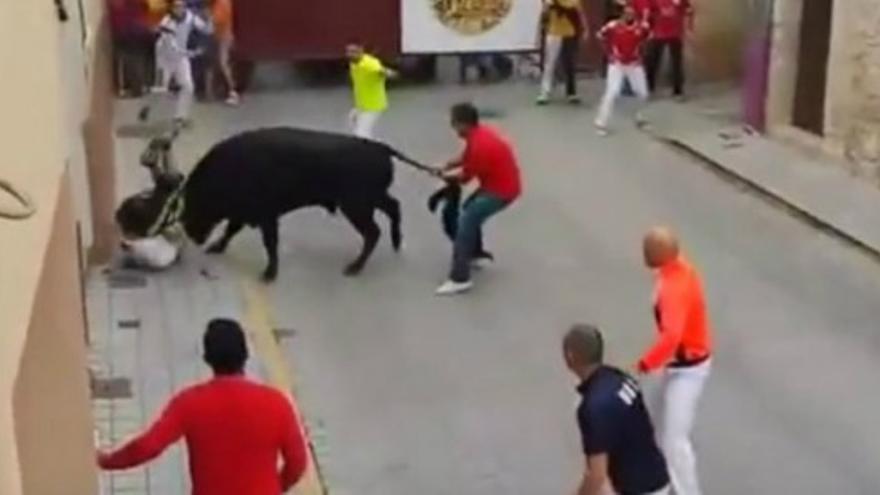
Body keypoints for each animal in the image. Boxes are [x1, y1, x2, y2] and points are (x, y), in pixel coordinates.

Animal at [181, 127, 436, 282]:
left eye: (194, 203)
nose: (190, 233)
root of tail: (380, 148)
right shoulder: (245, 212)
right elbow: (230, 230)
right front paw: (217, 246)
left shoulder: (266, 216)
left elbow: (269, 243)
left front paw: (269, 273)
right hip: (370, 200)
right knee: (394, 208)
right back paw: (396, 242)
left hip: (356, 207)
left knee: (373, 232)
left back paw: (354, 267)